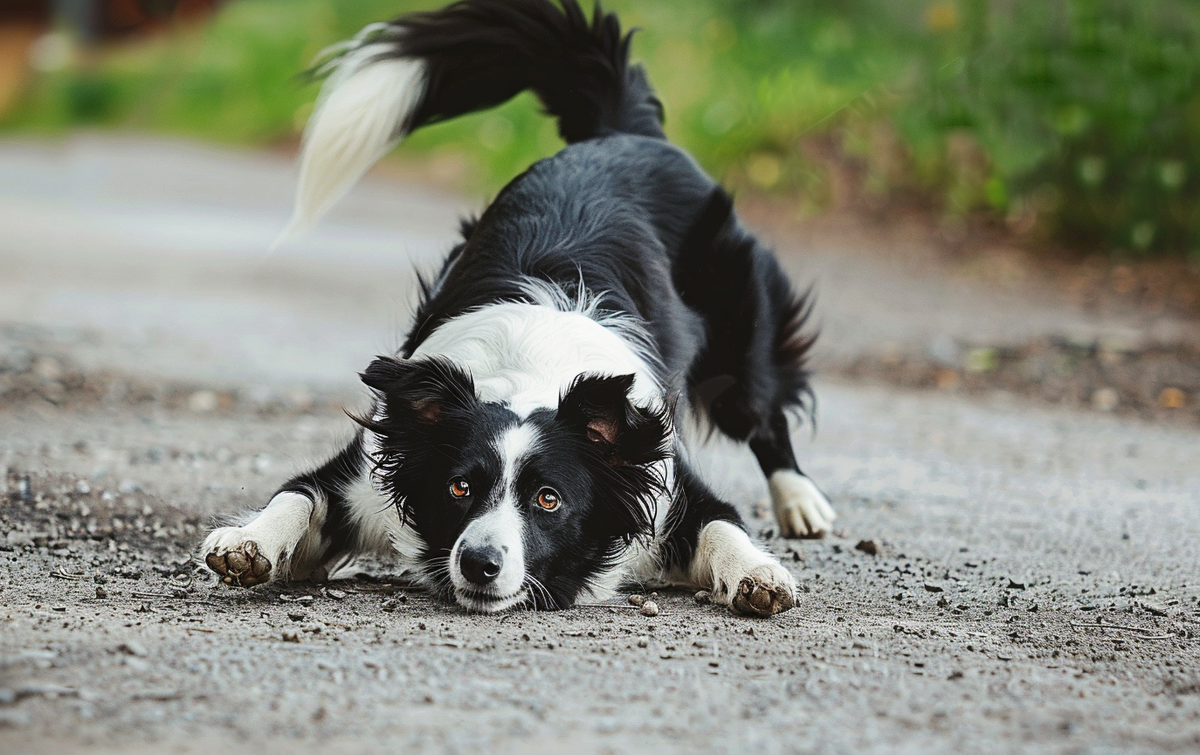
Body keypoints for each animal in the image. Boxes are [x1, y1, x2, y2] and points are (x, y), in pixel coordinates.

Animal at [199, 0, 835, 614]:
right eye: (459, 488)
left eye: (548, 499)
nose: (479, 563)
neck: (531, 374)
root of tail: (622, 132)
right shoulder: (368, 475)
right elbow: (299, 494)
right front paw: (248, 542)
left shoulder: (664, 489)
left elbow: (723, 524)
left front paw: (759, 575)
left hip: (739, 333)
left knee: (763, 410)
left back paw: (802, 502)